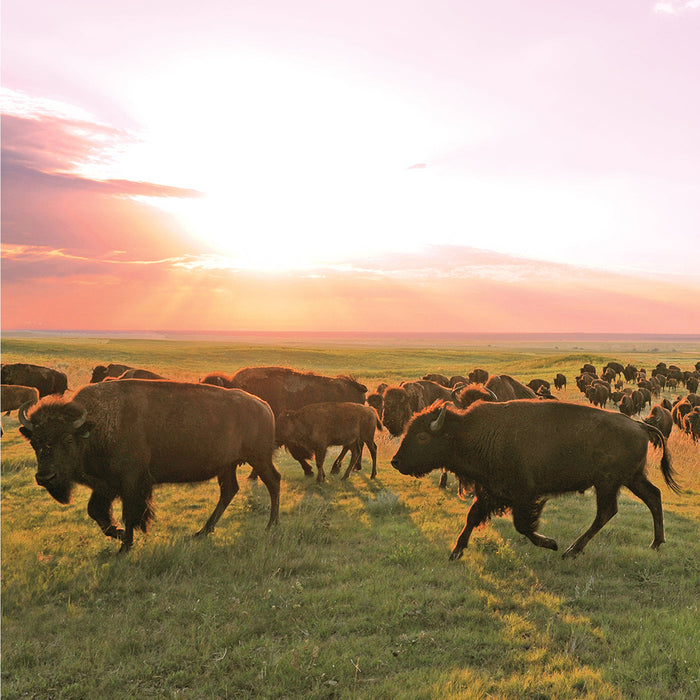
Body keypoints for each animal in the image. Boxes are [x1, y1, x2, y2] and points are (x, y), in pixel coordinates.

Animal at [19, 380, 281, 553]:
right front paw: (119, 535)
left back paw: (271, 526)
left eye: (66, 439)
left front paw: (125, 546)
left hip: (259, 458)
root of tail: (264, 405)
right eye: (34, 442)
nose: (45, 477)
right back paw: (202, 532)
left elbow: (129, 513)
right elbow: (96, 511)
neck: (94, 427)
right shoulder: (106, 485)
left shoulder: (130, 481)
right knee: (229, 490)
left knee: (273, 481)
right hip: (227, 465)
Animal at [391, 400, 679, 560]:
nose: (396, 461)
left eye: (422, 437)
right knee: (653, 497)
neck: (470, 433)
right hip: (631, 479)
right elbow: (472, 517)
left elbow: (523, 526)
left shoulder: (523, 494)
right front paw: (456, 552)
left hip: (608, 483)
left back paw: (570, 551)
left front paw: (550, 543)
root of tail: (640, 425)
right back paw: (655, 543)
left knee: (607, 511)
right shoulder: (490, 492)